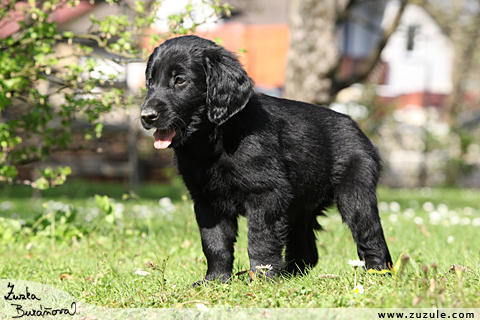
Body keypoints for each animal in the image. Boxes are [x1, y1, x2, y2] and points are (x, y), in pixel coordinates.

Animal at [141, 33, 392, 282]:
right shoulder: (207, 200)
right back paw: (290, 274)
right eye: (150, 82)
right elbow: (214, 243)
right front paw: (215, 280)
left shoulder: (266, 194)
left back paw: (377, 273)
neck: (216, 139)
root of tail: (358, 129)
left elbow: (260, 239)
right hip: (299, 208)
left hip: (355, 194)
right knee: (306, 251)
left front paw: (261, 279)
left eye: (180, 80)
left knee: (370, 233)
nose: (146, 116)